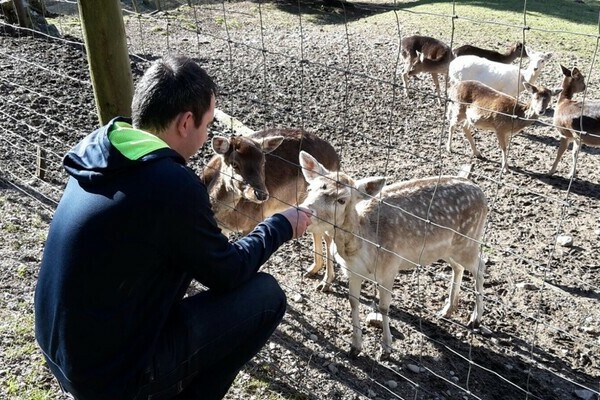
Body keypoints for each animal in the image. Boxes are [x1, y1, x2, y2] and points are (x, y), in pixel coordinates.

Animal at [203, 128, 340, 290]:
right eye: (235, 164)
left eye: (263, 161)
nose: (262, 194)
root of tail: (336, 159)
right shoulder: (220, 228)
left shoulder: (253, 222)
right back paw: (312, 270)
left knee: (328, 235)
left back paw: (325, 283)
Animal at [298, 152, 488, 360]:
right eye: (309, 188)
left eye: (341, 200)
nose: (303, 210)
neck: (361, 249)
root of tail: (481, 193)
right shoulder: (352, 272)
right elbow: (353, 302)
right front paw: (355, 347)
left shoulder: (389, 267)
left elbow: (383, 307)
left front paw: (386, 349)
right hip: (450, 248)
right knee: (459, 267)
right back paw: (447, 310)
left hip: (469, 240)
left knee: (480, 266)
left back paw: (475, 318)